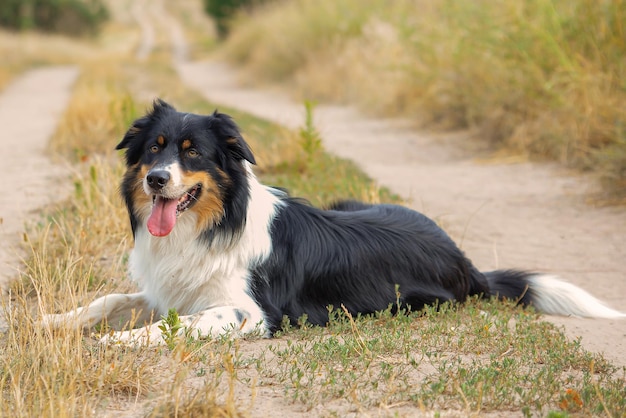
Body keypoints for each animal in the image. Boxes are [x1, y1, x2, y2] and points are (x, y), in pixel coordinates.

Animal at [42, 99, 620, 344]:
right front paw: (53, 321)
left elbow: (178, 324)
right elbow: (112, 299)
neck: (213, 223)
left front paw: (118, 343)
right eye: (154, 149)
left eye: (192, 152)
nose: (157, 180)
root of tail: (466, 261)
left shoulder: (252, 313)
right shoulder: (170, 288)